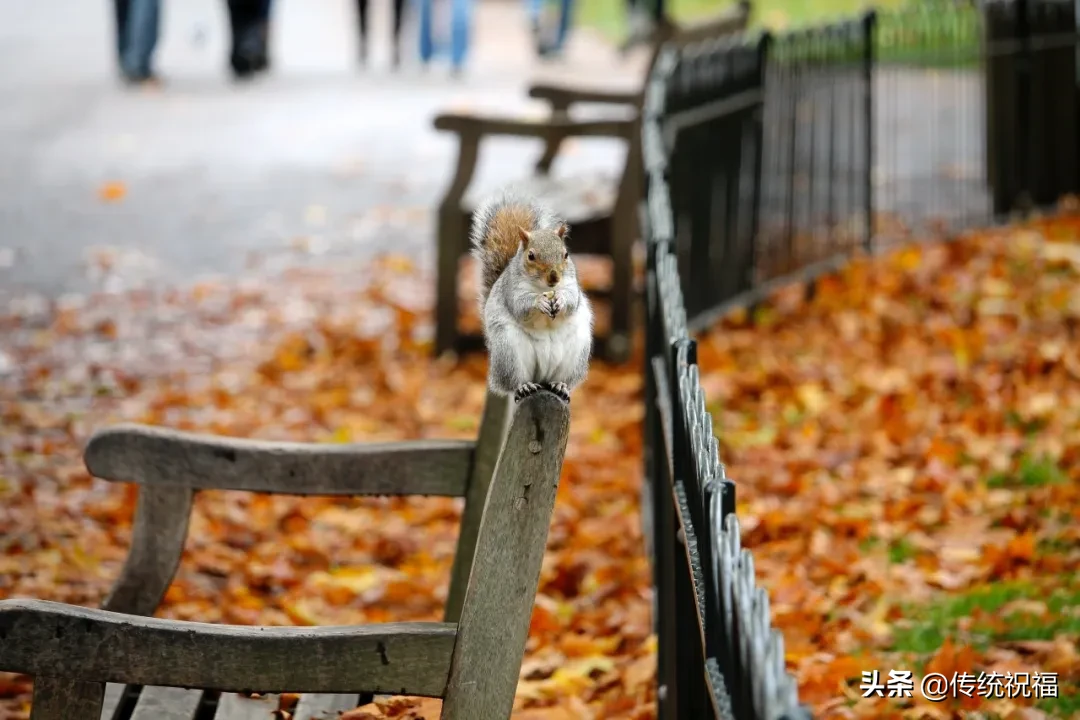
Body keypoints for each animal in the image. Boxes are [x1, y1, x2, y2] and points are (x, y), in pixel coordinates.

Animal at [470, 191, 596, 405]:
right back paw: (524, 387)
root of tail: (542, 378)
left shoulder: (572, 285)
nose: (554, 277)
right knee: (513, 382)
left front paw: (561, 299)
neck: (544, 288)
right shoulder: (512, 290)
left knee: (564, 379)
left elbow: (572, 300)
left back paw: (560, 385)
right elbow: (520, 306)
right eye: (531, 256)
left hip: (576, 353)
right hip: (508, 352)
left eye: (566, 254)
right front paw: (539, 302)